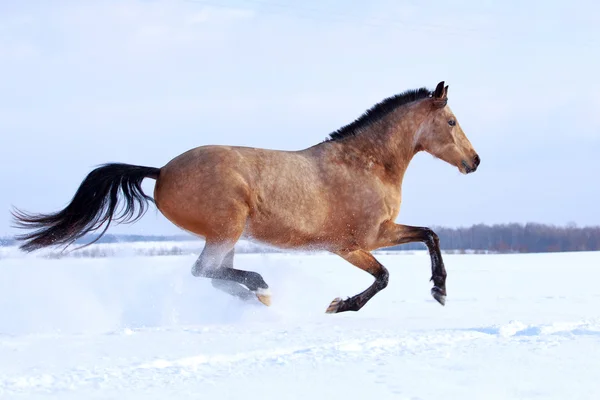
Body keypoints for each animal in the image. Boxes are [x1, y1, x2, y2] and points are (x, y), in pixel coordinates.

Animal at [10, 80, 478, 312]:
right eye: (452, 122)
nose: (474, 161)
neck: (366, 163)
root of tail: (161, 171)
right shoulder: (352, 243)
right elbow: (383, 277)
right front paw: (341, 305)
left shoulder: (382, 232)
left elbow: (430, 234)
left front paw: (439, 290)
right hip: (227, 229)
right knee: (204, 271)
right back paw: (260, 286)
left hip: (227, 236)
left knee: (215, 275)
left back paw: (255, 296)